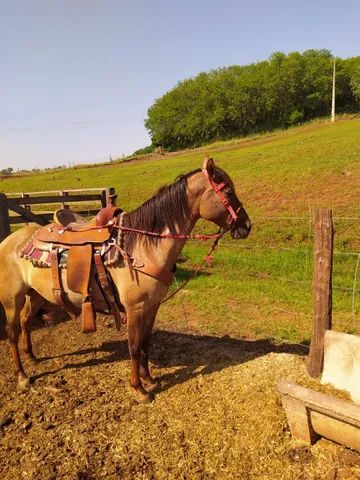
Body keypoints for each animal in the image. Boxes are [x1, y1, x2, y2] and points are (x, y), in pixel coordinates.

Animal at [0, 157, 250, 402]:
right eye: (228, 190)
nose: (247, 226)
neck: (144, 246)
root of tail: (9, 240)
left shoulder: (152, 306)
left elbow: (146, 343)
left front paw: (149, 380)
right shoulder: (134, 308)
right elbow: (134, 346)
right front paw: (139, 389)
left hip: (36, 295)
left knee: (25, 321)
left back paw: (32, 357)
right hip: (12, 300)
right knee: (12, 332)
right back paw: (22, 376)